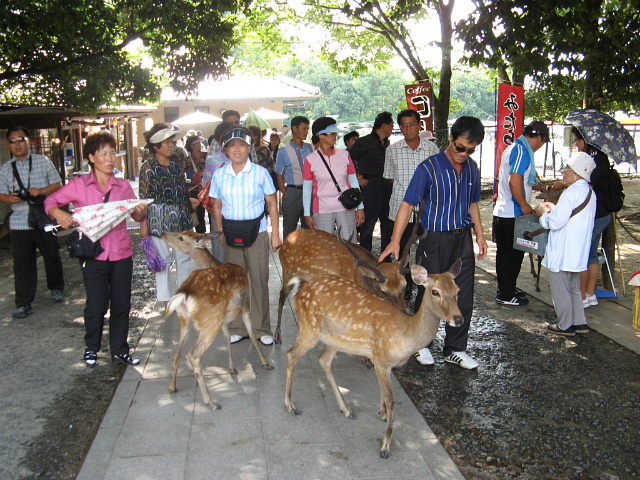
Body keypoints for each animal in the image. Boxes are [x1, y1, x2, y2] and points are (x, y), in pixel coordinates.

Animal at [161, 232, 274, 408]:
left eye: (181, 236)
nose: (163, 233)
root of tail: (184, 294)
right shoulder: (244, 304)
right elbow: (251, 333)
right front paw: (266, 363)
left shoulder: (225, 317)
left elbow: (228, 337)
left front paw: (232, 368)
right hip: (210, 320)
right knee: (193, 354)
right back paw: (211, 402)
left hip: (187, 322)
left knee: (178, 351)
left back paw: (172, 387)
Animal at [284, 205, 464, 458]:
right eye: (435, 291)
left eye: (457, 290)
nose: (458, 318)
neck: (405, 335)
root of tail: (301, 290)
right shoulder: (381, 359)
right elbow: (391, 400)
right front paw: (386, 444)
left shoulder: (384, 364)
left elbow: (384, 395)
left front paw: (381, 414)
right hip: (309, 329)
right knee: (291, 354)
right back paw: (290, 405)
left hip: (334, 339)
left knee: (323, 360)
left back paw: (347, 409)